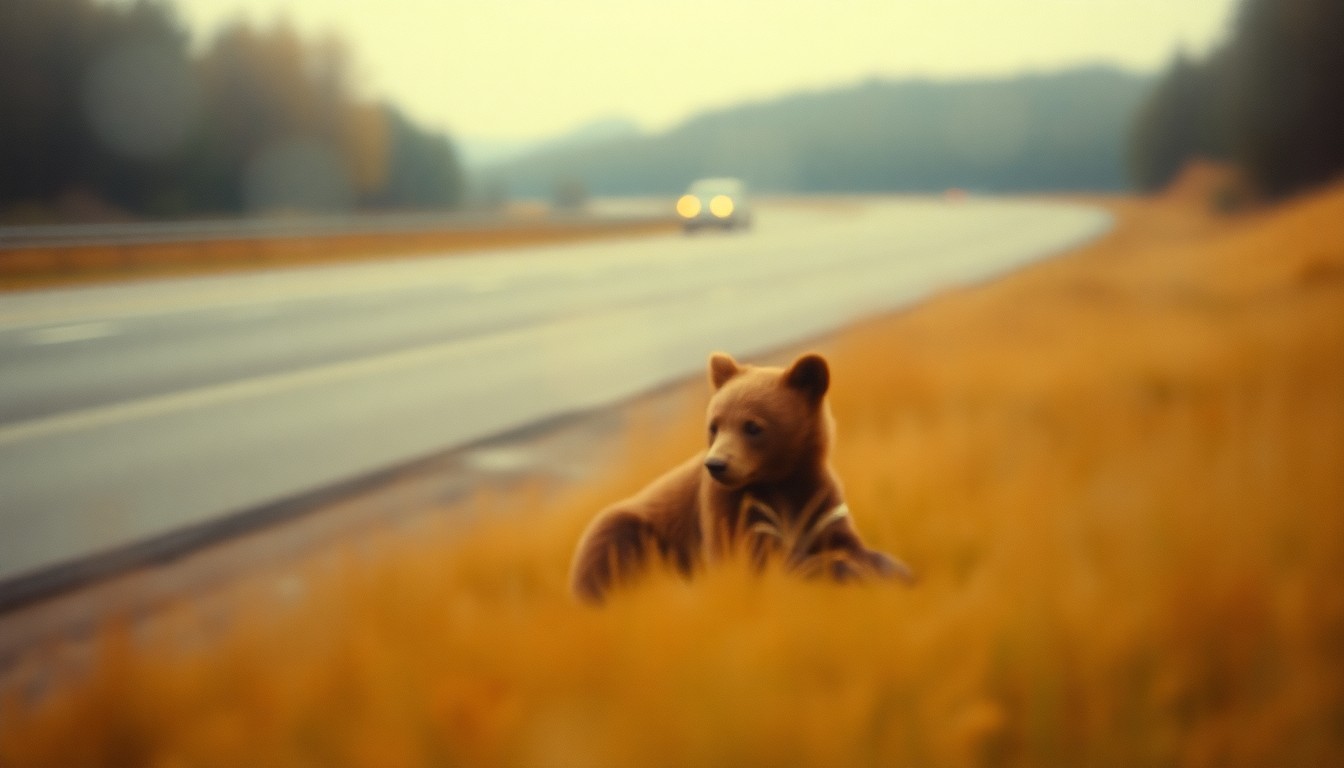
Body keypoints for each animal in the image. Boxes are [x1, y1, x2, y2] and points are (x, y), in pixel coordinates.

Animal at [569, 351, 913, 604]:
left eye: (753, 426)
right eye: (714, 424)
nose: (716, 464)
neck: (780, 479)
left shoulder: (817, 499)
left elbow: (848, 541)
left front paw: (894, 568)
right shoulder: (728, 508)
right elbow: (756, 560)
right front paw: (849, 571)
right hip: (625, 531)